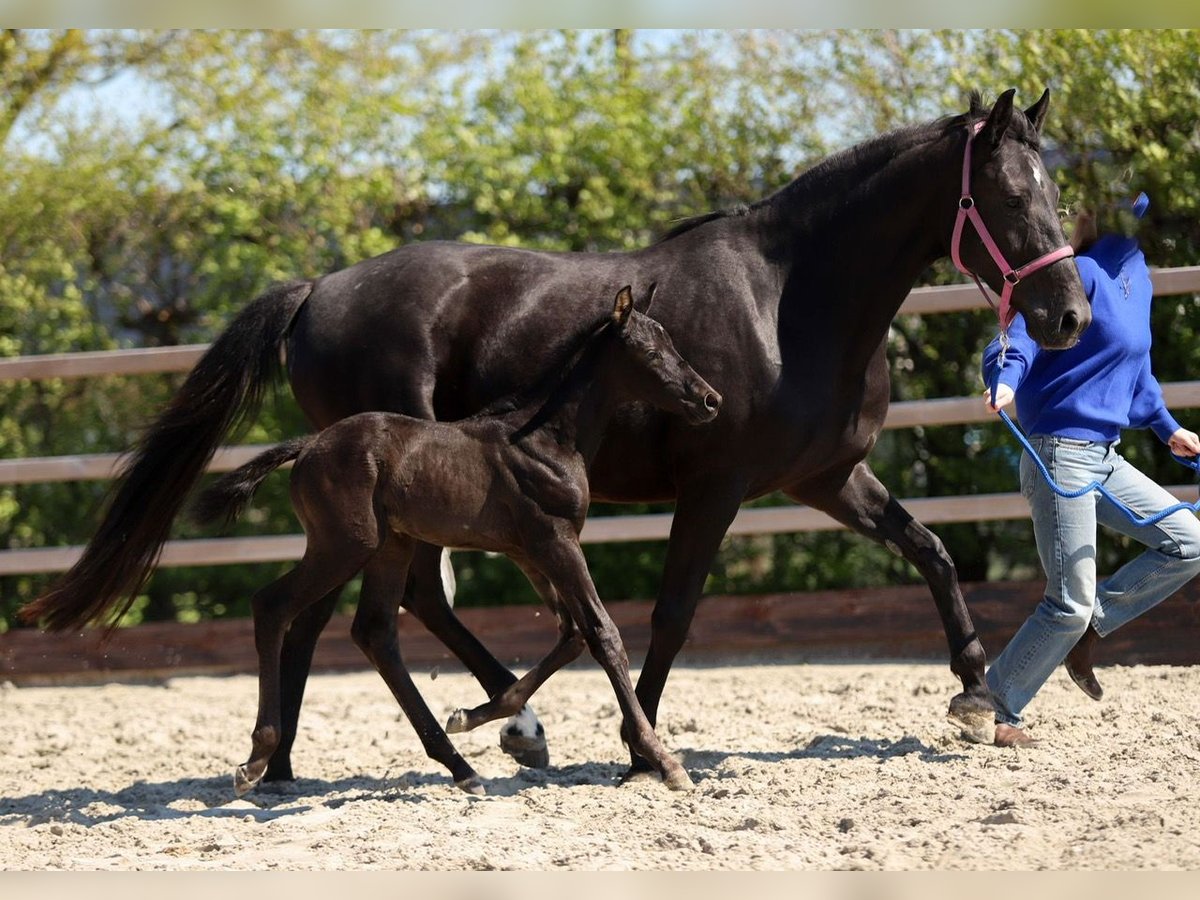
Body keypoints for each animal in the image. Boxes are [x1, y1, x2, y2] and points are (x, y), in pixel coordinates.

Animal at [194, 286, 720, 796]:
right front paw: (666, 763)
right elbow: (603, 634)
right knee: (272, 605)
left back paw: (460, 766)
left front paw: (473, 717)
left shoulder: (530, 551)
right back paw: (256, 760)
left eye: (674, 344)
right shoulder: (555, 541)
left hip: (391, 546)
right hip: (345, 544)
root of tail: (307, 446)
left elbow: (572, 634)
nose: (710, 400)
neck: (545, 439)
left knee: (374, 631)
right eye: (650, 352)